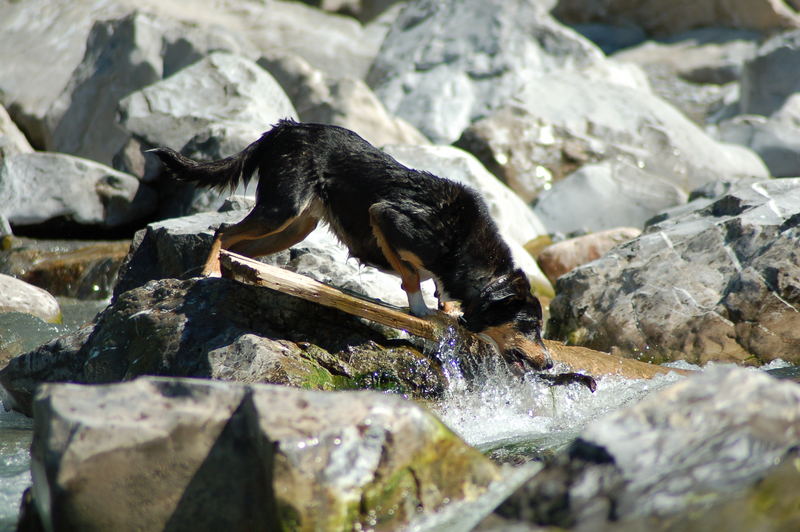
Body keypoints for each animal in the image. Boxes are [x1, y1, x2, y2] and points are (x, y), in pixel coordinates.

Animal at [150, 119, 552, 370]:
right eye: (529, 326)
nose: (548, 363)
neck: (465, 250)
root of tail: (286, 128)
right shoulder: (384, 217)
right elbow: (411, 275)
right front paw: (420, 309)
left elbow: (436, 286)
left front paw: (447, 308)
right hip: (282, 208)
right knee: (223, 230)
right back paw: (208, 272)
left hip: (296, 226)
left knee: (241, 247)